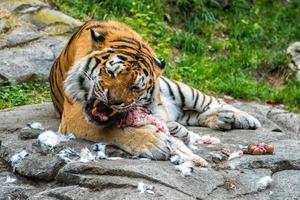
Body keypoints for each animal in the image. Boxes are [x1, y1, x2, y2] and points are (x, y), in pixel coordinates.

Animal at [49, 19, 260, 166]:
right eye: (110, 72)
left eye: (136, 87)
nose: (113, 101)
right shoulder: (73, 116)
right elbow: (113, 130)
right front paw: (155, 143)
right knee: (191, 116)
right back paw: (220, 120)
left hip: (179, 89)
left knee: (209, 100)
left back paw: (244, 118)